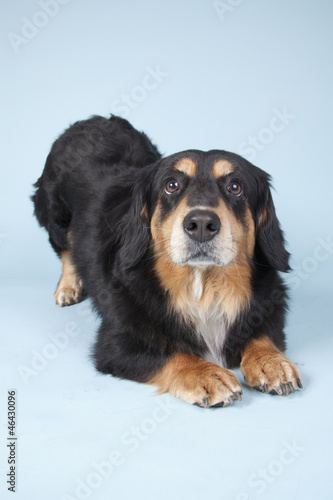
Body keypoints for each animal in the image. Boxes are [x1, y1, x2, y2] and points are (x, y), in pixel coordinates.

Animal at [33, 115, 300, 408]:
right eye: (171, 185)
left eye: (235, 187)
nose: (202, 224)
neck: (203, 285)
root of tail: (90, 120)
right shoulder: (117, 342)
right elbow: (174, 353)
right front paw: (206, 374)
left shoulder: (271, 302)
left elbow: (262, 334)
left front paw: (270, 362)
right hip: (54, 213)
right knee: (66, 250)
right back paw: (68, 287)